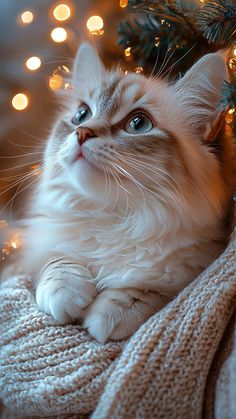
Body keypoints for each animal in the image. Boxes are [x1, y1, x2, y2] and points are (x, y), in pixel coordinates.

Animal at [7, 43, 234, 344]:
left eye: (138, 124)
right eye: (81, 115)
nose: (82, 131)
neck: (114, 217)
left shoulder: (192, 268)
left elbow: (149, 290)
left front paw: (111, 312)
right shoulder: (35, 253)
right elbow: (57, 261)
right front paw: (65, 292)